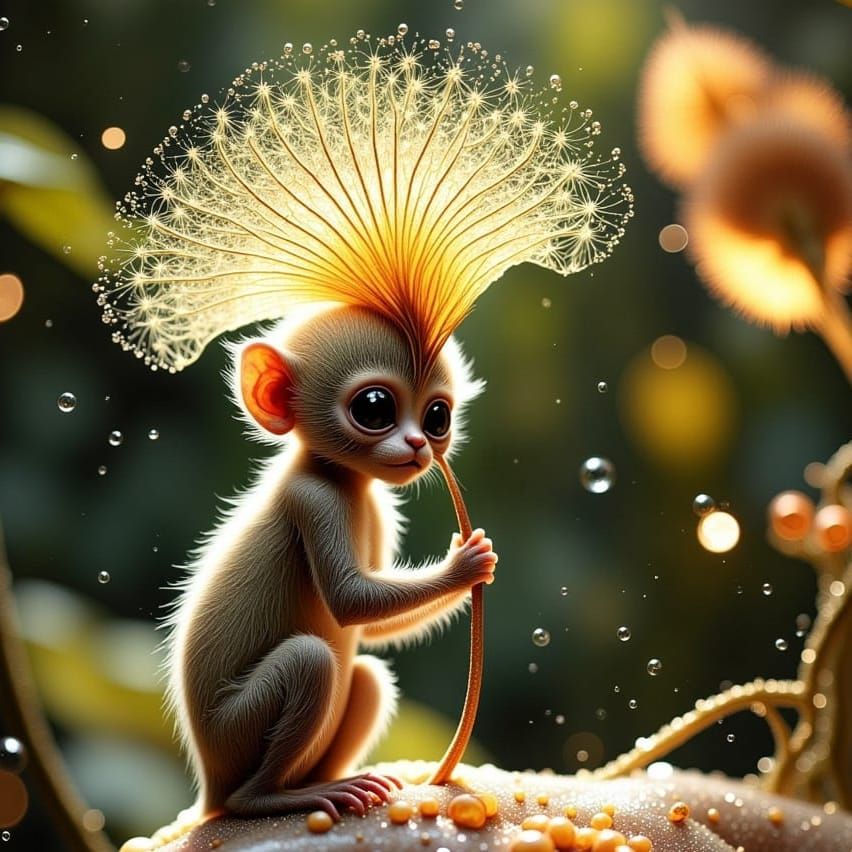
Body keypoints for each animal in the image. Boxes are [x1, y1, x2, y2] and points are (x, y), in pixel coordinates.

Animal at [164, 305, 498, 820]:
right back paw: (274, 796)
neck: (344, 479)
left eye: (437, 416)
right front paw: (465, 564)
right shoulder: (314, 499)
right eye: (374, 408)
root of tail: (209, 790)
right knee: (310, 660)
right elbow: (349, 600)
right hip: (233, 732)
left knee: (369, 678)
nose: (420, 443)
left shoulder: (378, 509)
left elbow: (373, 629)